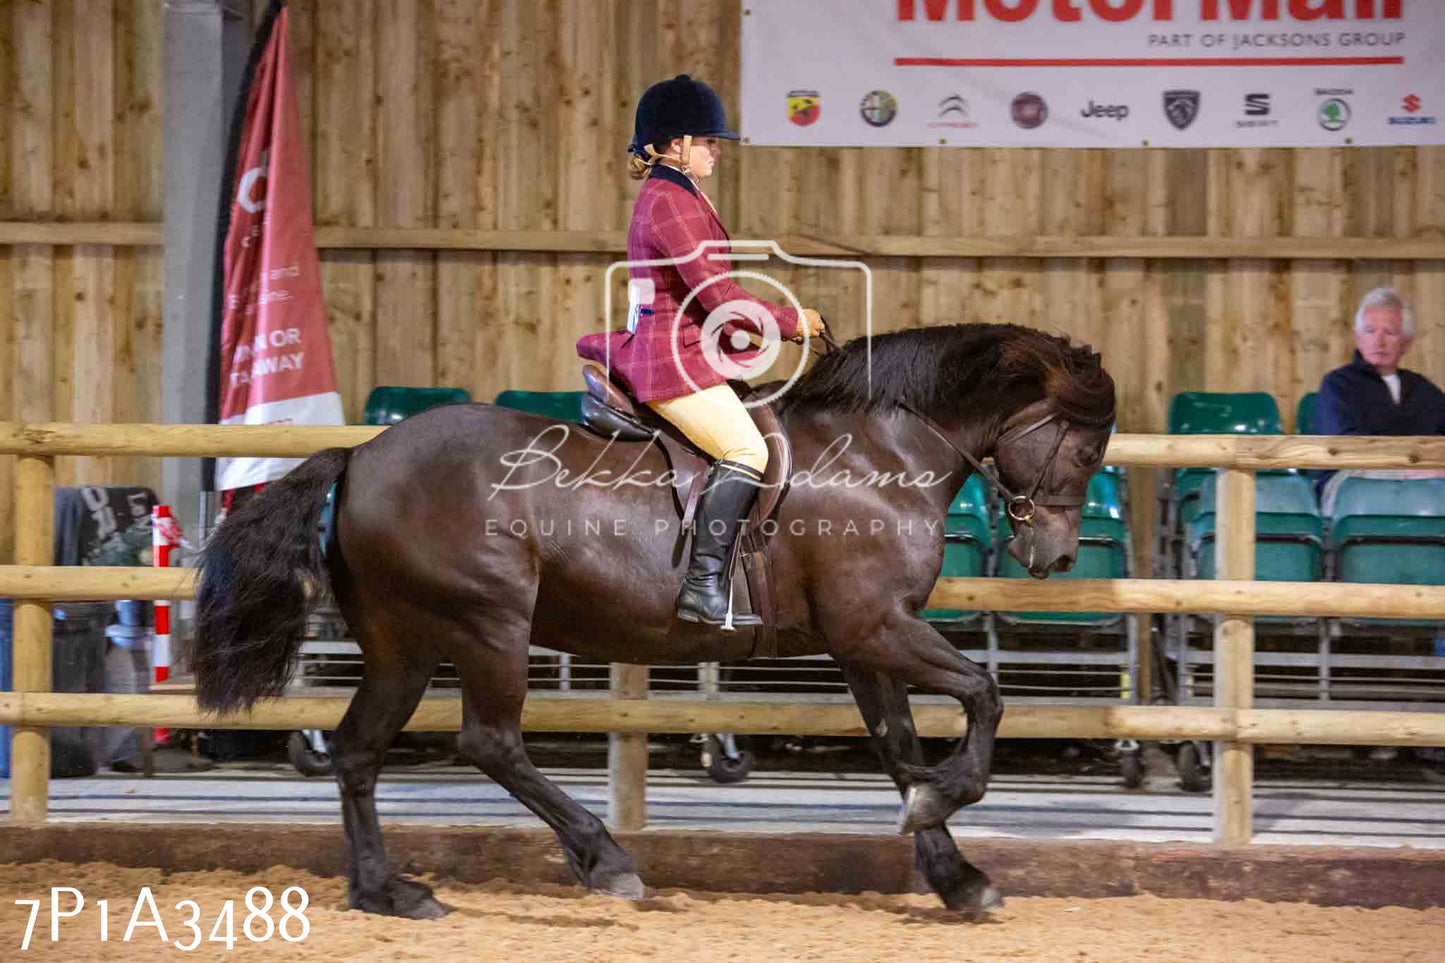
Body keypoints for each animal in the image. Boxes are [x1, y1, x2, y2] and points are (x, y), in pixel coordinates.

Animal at [192, 321, 1115, 913]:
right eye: (1081, 446)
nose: (1056, 555)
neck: (879, 453)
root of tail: (361, 457)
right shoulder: (876, 629)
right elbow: (985, 696)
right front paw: (941, 806)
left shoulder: (864, 644)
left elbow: (898, 751)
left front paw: (954, 871)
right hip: (488, 622)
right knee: (490, 741)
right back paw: (605, 859)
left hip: (403, 641)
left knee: (358, 749)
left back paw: (386, 891)